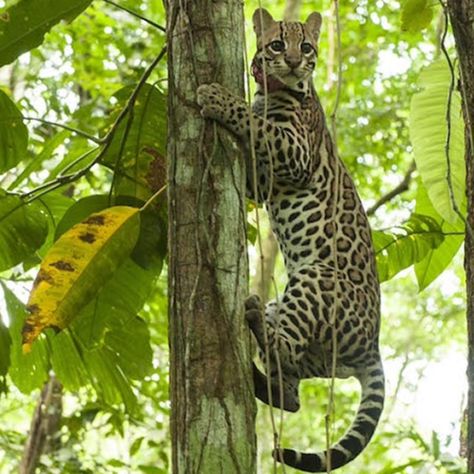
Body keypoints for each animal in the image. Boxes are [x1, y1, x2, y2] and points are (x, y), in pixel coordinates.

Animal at [196, 8, 386, 474]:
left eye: (309, 47)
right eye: (279, 44)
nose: (298, 64)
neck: (280, 91)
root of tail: (372, 349)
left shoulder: (294, 153)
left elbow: (255, 123)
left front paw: (216, 96)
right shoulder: (261, 183)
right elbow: (255, 135)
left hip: (316, 278)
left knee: (286, 352)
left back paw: (256, 331)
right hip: (291, 317)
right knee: (294, 390)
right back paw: (259, 372)